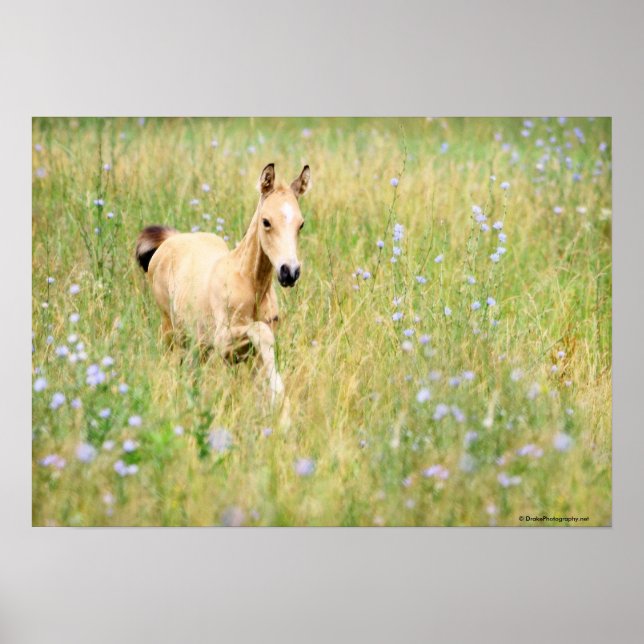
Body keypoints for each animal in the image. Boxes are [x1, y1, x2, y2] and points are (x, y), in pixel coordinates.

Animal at [135, 163, 311, 417]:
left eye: (301, 224)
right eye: (266, 221)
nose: (290, 272)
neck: (250, 284)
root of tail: (171, 240)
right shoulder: (223, 342)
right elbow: (261, 332)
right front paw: (279, 398)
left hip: (198, 345)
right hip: (170, 330)